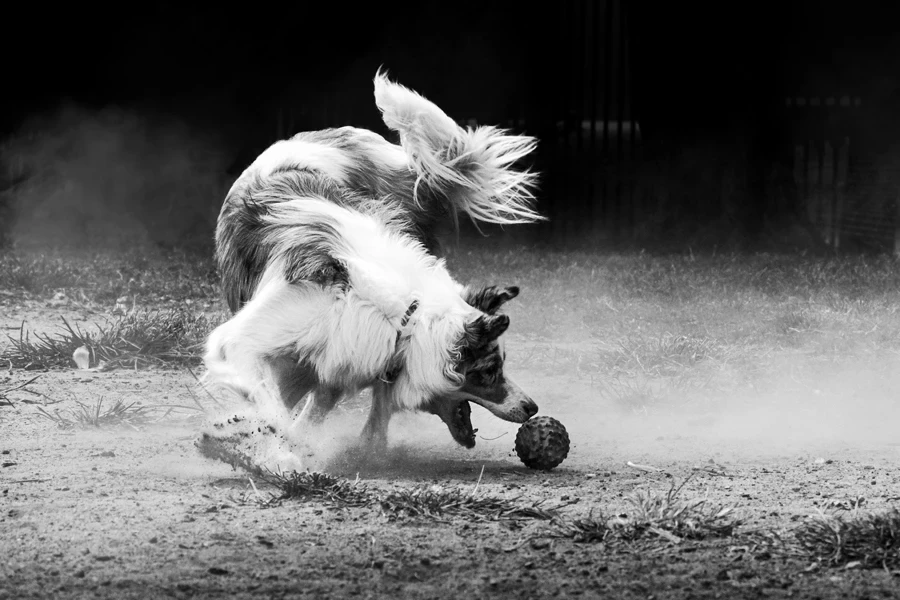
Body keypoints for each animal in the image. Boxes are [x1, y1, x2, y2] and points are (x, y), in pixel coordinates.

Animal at [202, 68, 540, 466]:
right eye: (489, 371)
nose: (532, 407)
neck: (402, 313)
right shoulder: (247, 342)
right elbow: (272, 406)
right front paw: (270, 449)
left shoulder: (340, 355)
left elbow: (312, 404)